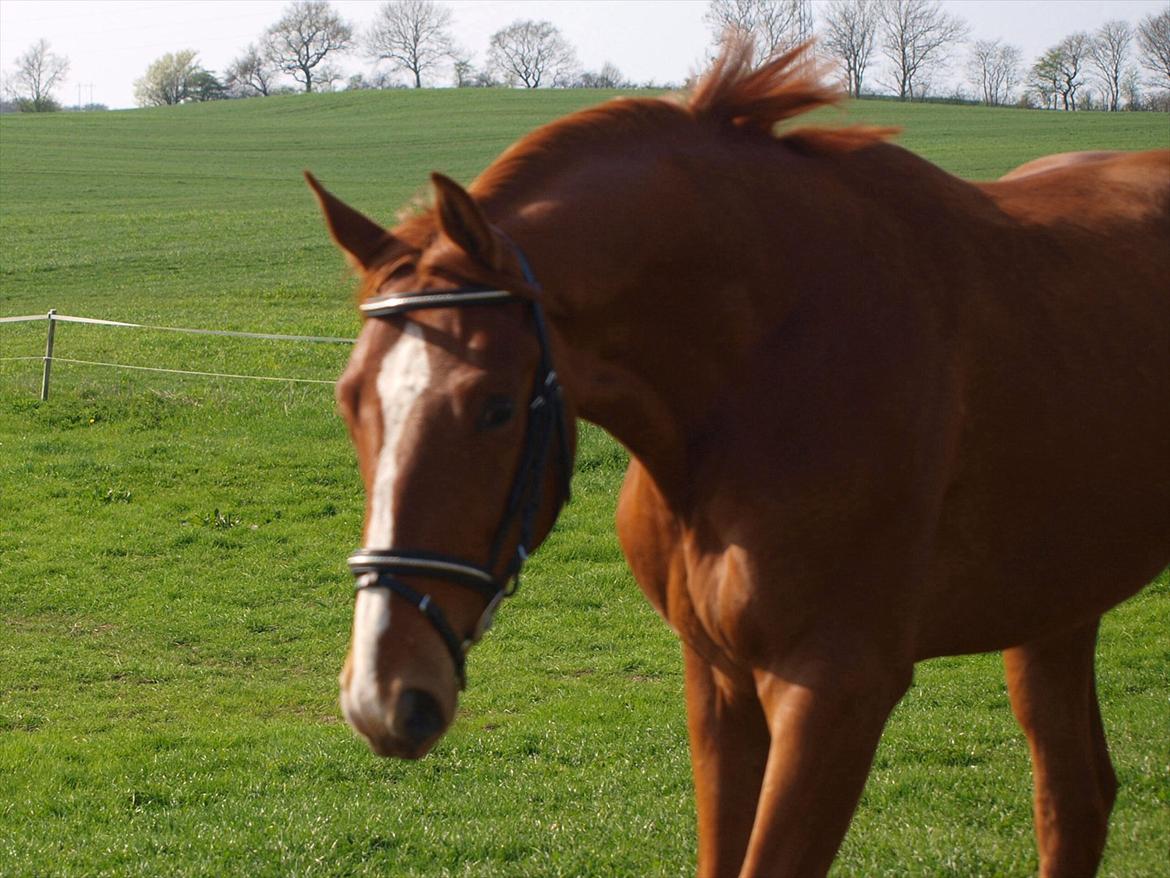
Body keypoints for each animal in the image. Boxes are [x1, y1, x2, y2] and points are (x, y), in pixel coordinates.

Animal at [306, 46, 1165, 878]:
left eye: (494, 406)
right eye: (349, 400)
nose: (383, 693)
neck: (766, 368)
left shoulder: (836, 692)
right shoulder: (719, 679)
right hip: (1055, 609)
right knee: (1075, 801)